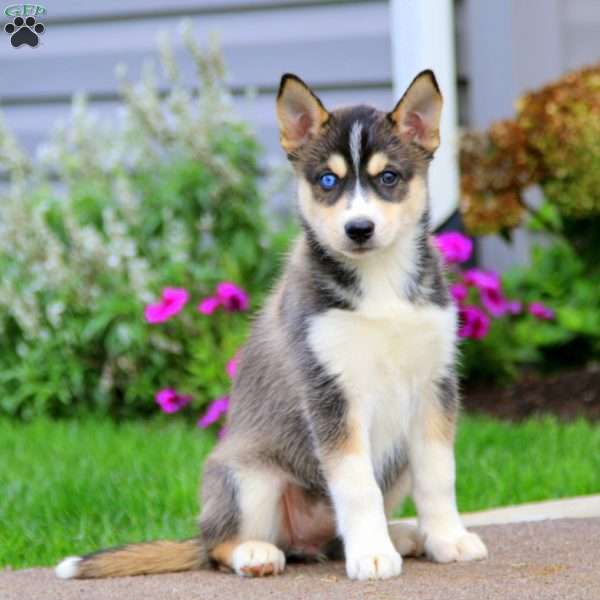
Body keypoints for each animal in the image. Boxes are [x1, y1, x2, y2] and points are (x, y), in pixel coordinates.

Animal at [56, 69, 488, 580]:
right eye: (327, 180)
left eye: (389, 177)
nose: (358, 229)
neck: (379, 284)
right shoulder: (330, 393)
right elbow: (357, 486)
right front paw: (372, 555)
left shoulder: (434, 386)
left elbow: (439, 476)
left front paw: (447, 538)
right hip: (246, 477)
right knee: (218, 547)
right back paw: (257, 553)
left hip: (394, 460)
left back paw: (400, 535)